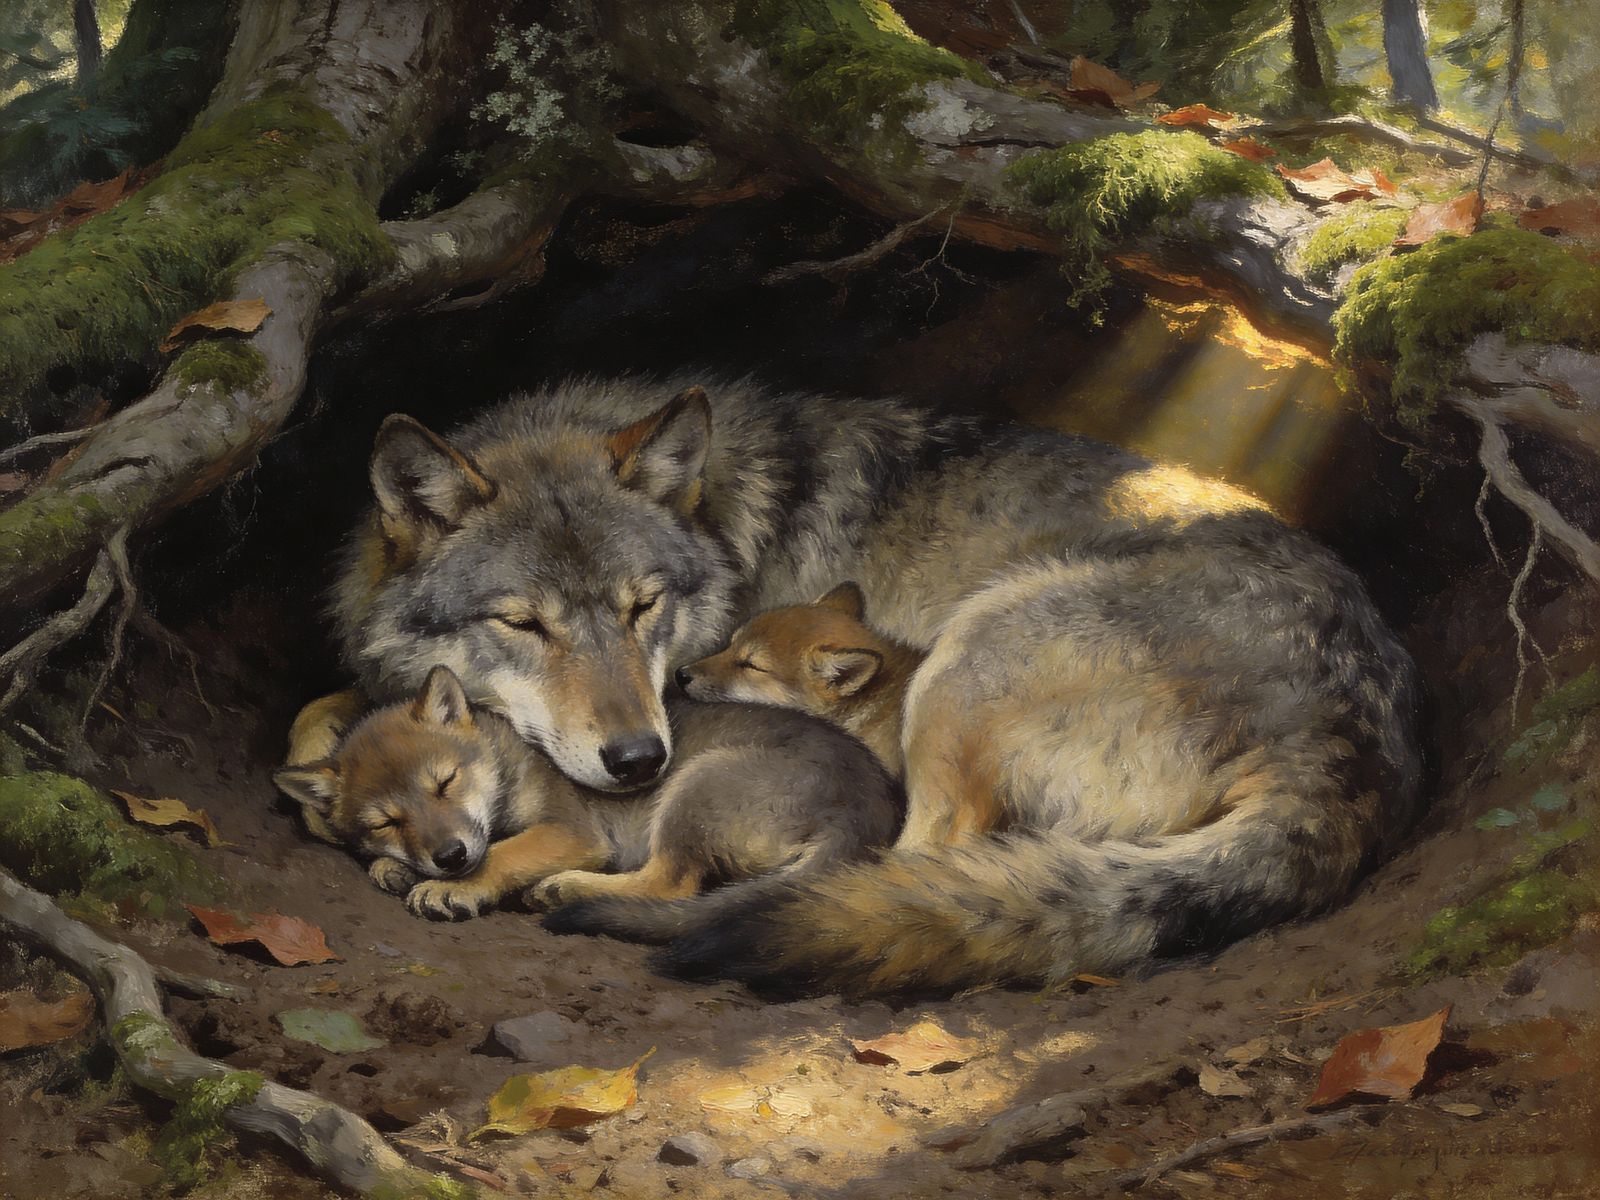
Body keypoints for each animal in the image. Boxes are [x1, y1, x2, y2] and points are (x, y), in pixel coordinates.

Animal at [274, 665, 899, 921]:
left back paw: (566, 889)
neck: (510, 761)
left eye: (445, 783)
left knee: (672, 884)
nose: (449, 856)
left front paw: (456, 888)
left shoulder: (572, 830)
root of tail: (867, 811)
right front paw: (399, 869)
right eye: (386, 822)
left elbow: (503, 853)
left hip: (696, 787)